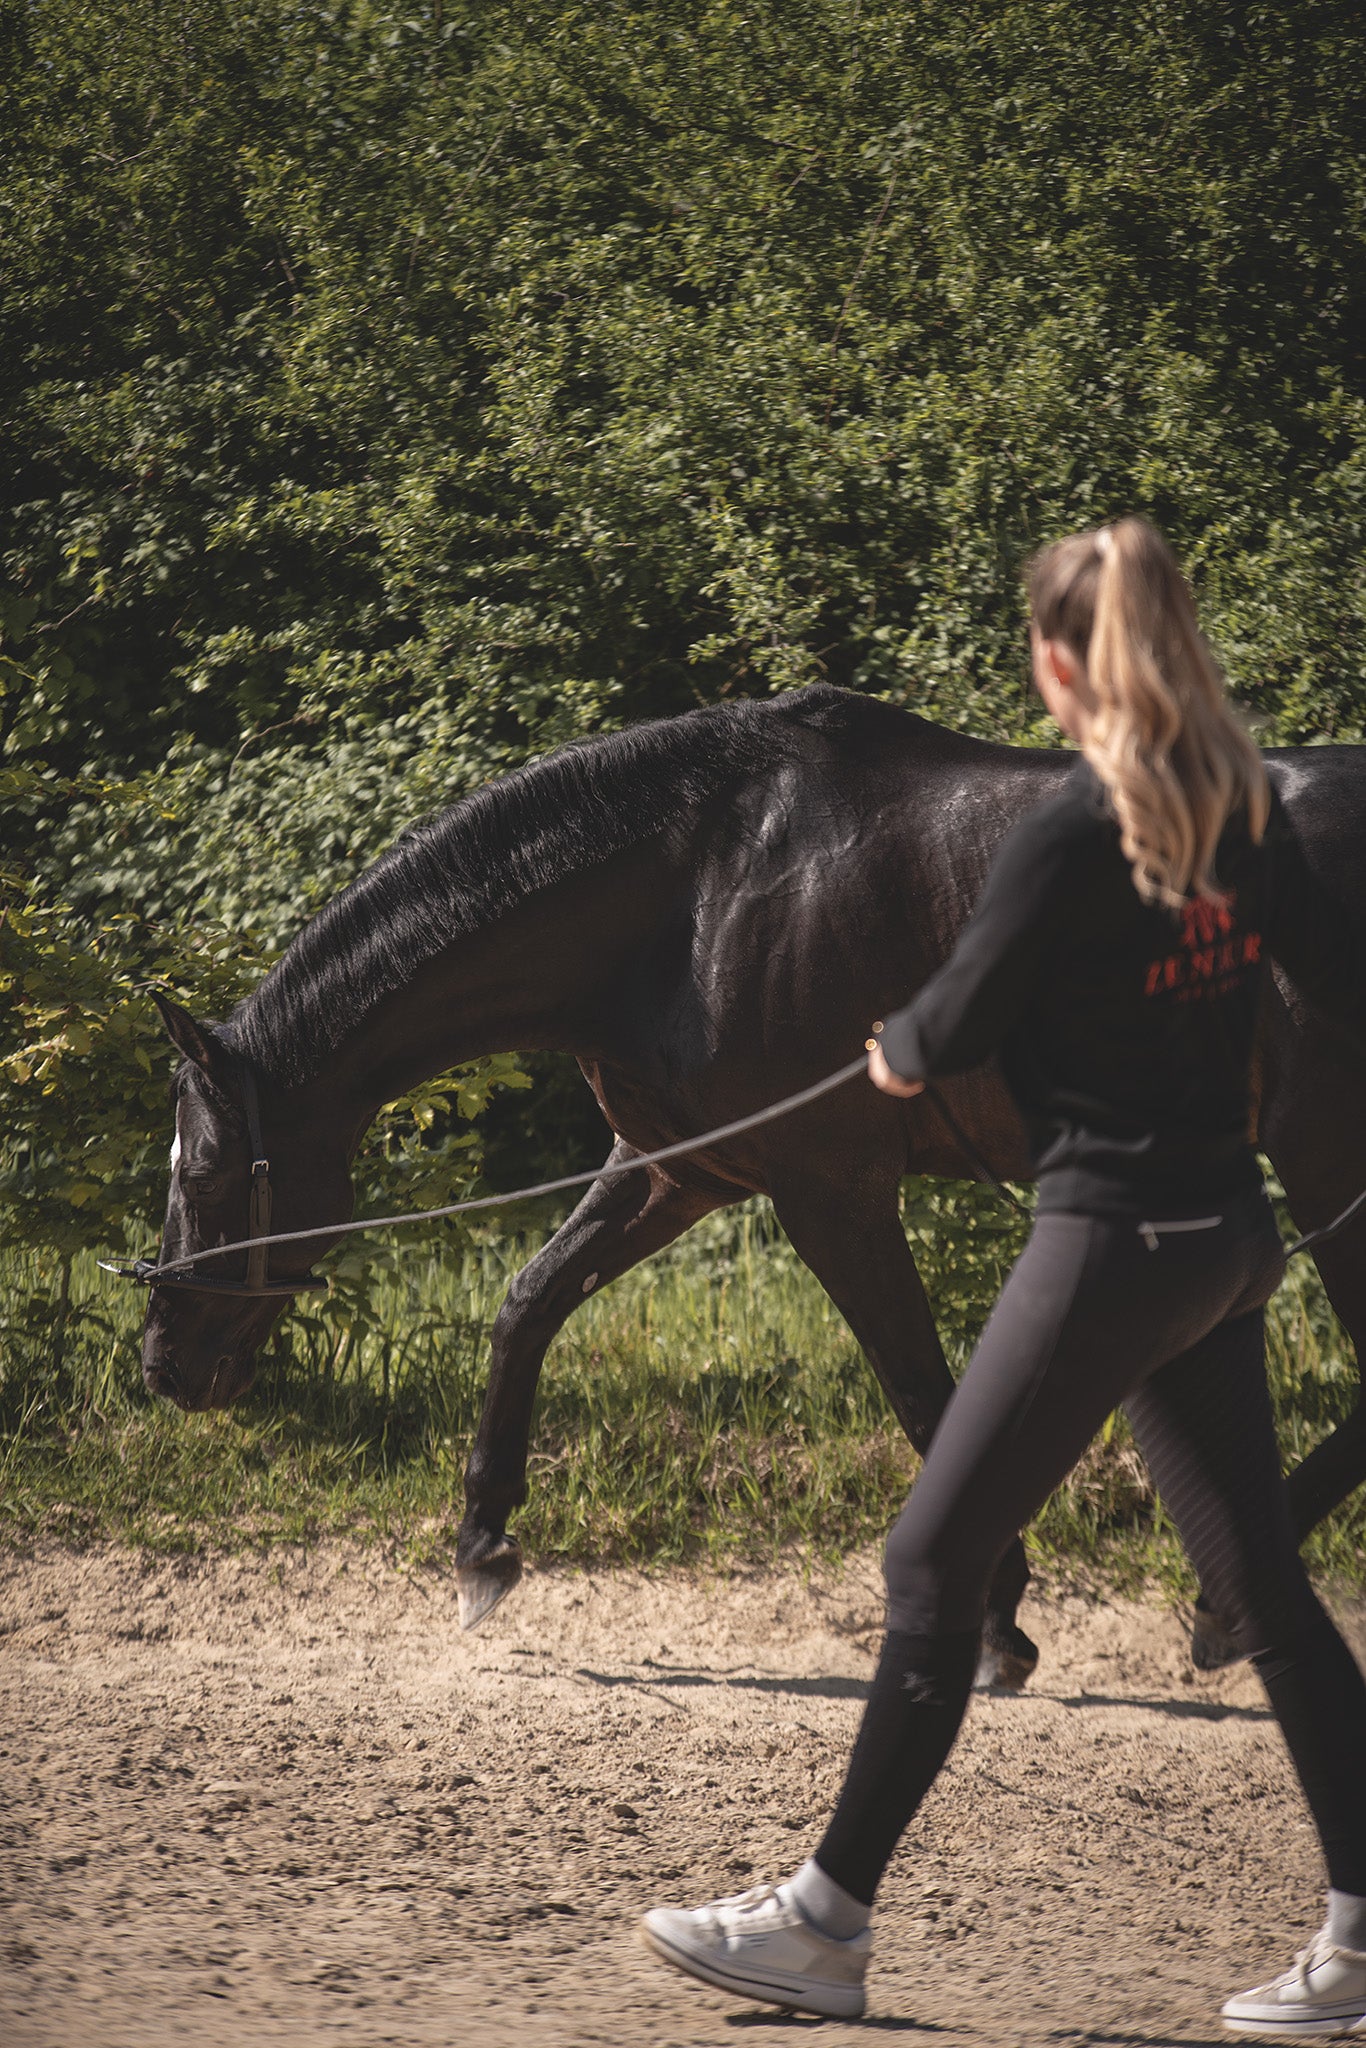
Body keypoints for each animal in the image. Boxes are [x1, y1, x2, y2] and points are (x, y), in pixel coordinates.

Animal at [141, 685, 1366, 1688]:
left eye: (203, 1169)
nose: (163, 1363)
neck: (696, 897)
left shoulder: (831, 1193)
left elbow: (921, 1393)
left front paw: (993, 1622)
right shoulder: (673, 1170)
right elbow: (527, 1302)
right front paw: (483, 1545)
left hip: (1322, 1161)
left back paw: (1218, 1611)